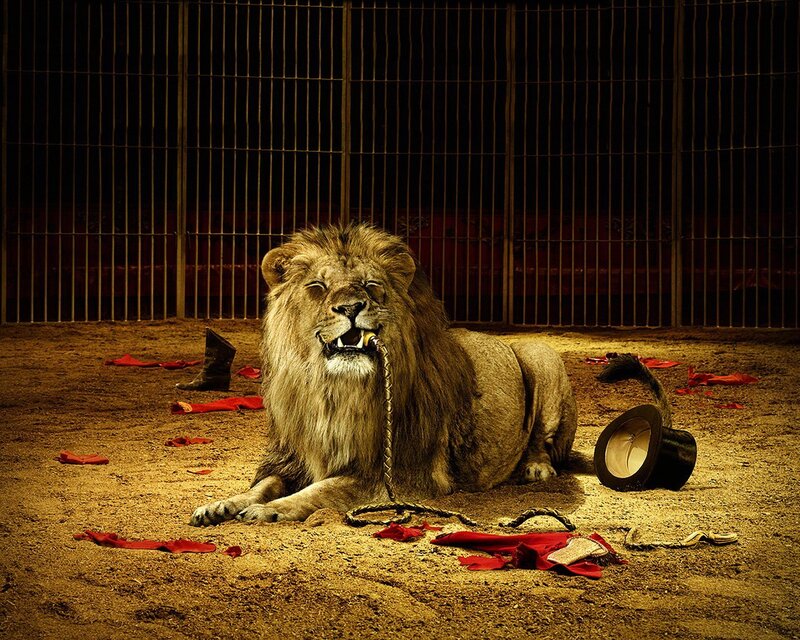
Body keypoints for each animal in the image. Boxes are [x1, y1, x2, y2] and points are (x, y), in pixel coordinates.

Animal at [190, 223, 577, 526]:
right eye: (317, 287)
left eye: (370, 285)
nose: (350, 307)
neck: (334, 392)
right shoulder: (292, 457)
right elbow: (262, 486)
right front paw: (222, 504)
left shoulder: (401, 475)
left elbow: (322, 490)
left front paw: (271, 510)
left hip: (540, 355)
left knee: (543, 439)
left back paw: (536, 468)